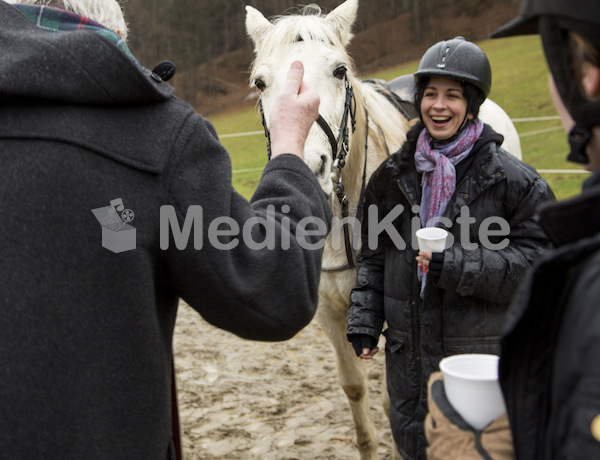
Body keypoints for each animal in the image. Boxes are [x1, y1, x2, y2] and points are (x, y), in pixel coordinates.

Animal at [246, 1, 524, 458]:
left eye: (339, 70)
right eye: (260, 82)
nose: (308, 166)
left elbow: (393, 395)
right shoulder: (330, 314)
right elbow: (355, 387)